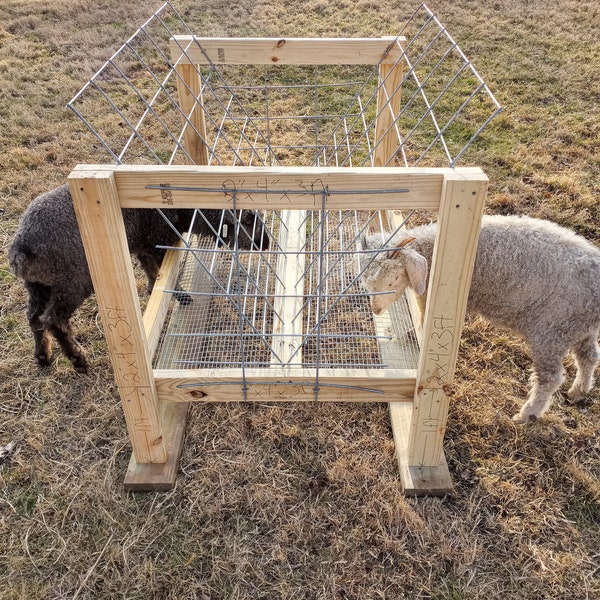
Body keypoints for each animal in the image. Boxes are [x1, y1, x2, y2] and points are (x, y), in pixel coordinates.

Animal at [8, 184, 268, 370]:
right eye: (251, 222)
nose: (266, 244)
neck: (186, 212)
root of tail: (21, 248)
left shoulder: (144, 247)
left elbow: (153, 273)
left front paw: (155, 289)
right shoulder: (157, 243)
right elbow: (165, 274)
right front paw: (181, 296)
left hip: (39, 284)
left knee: (34, 317)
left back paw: (43, 356)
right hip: (73, 279)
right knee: (54, 319)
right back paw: (77, 359)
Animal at [360, 213, 600, 424]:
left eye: (394, 280)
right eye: (367, 282)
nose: (376, 310)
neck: (432, 250)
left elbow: (424, 319)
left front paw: (411, 334)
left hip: (551, 331)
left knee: (550, 378)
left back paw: (527, 414)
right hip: (578, 328)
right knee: (589, 357)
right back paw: (578, 391)